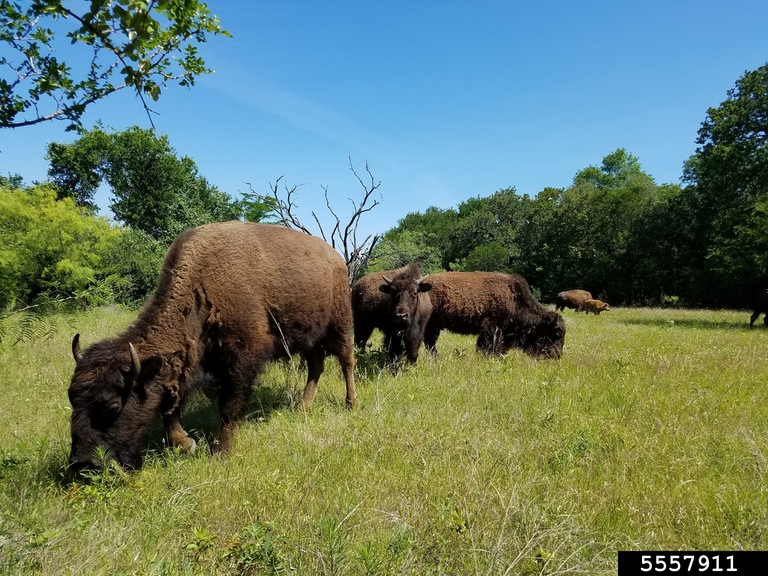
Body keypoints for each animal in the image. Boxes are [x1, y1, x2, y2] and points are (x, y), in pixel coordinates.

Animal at [68, 221, 356, 471]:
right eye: (72, 399)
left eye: (113, 407)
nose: (84, 464)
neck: (201, 285)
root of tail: (336, 259)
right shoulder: (188, 361)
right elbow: (170, 405)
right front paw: (186, 443)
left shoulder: (241, 360)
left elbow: (228, 409)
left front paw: (222, 454)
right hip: (310, 336)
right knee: (316, 366)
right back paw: (303, 407)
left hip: (340, 324)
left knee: (346, 361)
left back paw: (351, 403)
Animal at [423, 271, 566, 359]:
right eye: (556, 334)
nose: (556, 356)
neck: (515, 301)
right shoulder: (492, 329)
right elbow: (488, 346)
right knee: (430, 343)